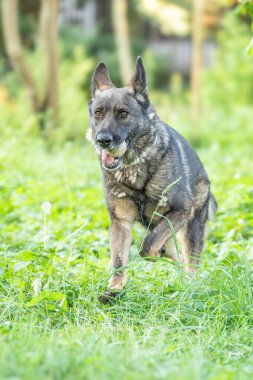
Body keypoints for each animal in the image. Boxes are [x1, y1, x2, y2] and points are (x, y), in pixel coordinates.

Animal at [87, 55, 217, 302]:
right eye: (98, 113)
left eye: (123, 113)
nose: (103, 140)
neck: (134, 167)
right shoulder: (120, 224)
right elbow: (118, 261)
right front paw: (114, 289)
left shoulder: (179, 212)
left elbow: (147, 246)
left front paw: (153, 254)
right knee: (175, 254)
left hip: (191, 229)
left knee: (189, 264)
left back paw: (190, 286)